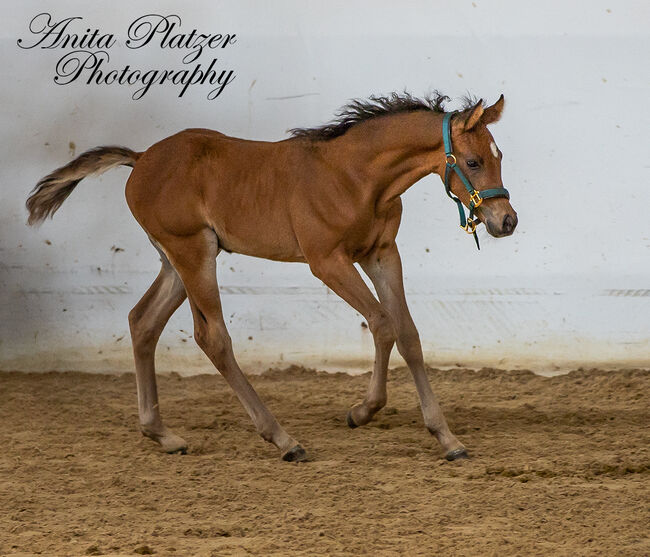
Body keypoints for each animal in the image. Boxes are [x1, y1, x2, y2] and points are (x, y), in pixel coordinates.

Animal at [26, 93, 516, 462]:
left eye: (498, 156)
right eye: (473, 161)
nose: (506, 221)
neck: (355, 176)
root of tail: (141, 157)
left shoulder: (382, 255)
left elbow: (409, 333)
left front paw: (447, 438)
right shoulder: (327, 261)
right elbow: (382, 324)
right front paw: (363, 411)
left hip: (175, 261)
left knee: (142, 321)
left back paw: (162, 435)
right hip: (192, 253)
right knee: (212, 337)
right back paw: (283, 440)